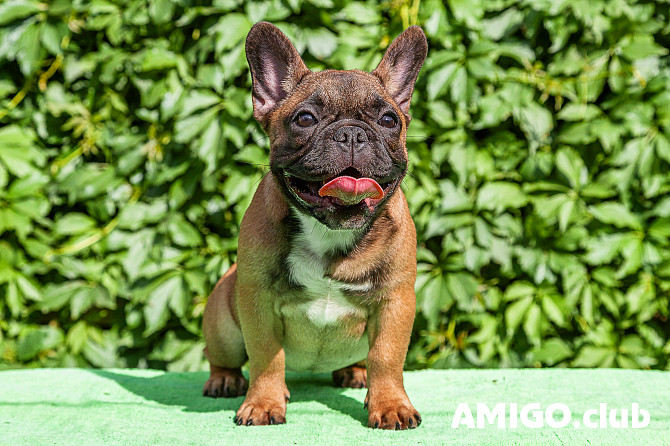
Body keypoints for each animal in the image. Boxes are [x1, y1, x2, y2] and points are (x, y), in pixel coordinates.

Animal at [202, 21, 428, 432]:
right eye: (304, 119)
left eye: (389, 120)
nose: (352, 134)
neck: (331, 230)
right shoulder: (257, 300)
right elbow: (266, 357)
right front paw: (263, 404)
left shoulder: (395, 301)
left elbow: (387, 357)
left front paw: (390, 405)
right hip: (224, 323)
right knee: (224, 356)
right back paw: (225, 380)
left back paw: (355, 373)